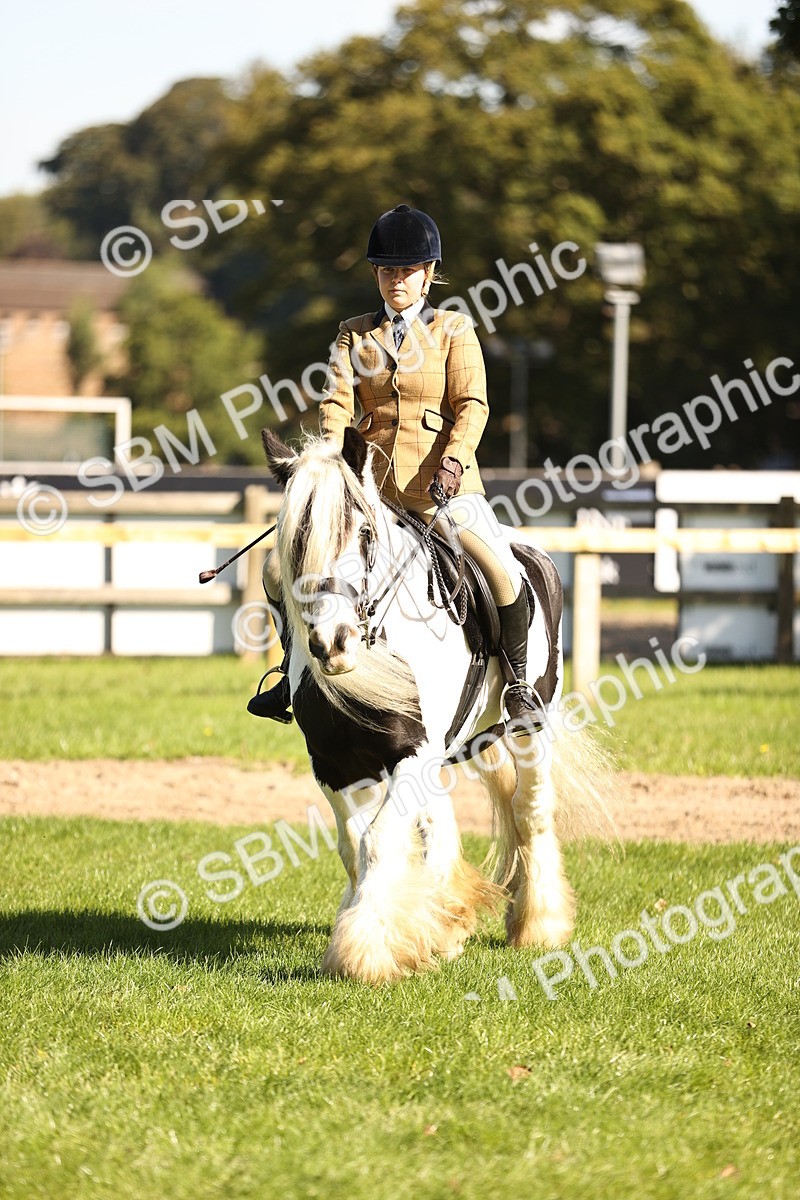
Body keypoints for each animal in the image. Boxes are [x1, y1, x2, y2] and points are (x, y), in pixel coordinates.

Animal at [260, 426, 609, 983]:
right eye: (293, 543)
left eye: (364, 534)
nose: (331, 644)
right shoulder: (335, 764)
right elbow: (354, 847)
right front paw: (399, 934)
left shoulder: (412, 754)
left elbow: (378, 841)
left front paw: (361, 953)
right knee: (438, 825)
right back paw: (447, 920)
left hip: (530, 724)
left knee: (529, 809)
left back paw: (538, 924)